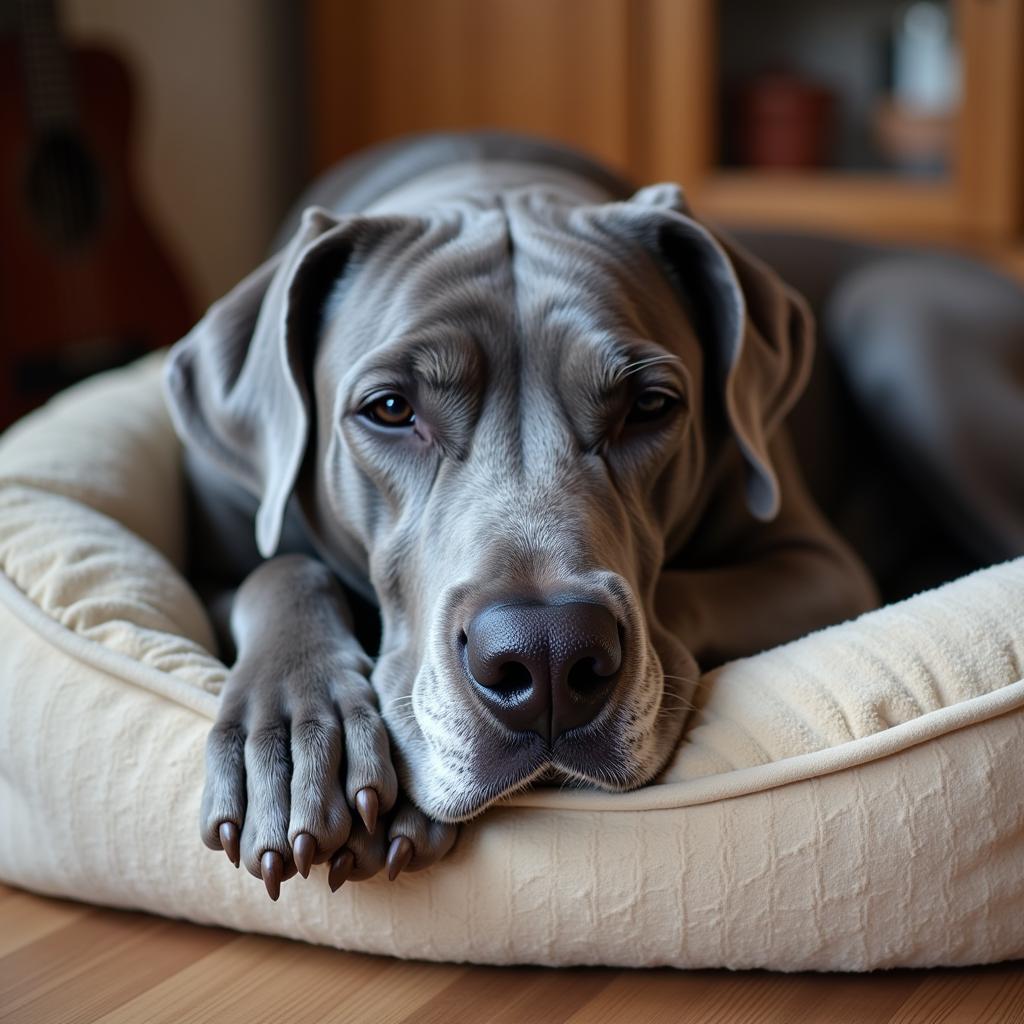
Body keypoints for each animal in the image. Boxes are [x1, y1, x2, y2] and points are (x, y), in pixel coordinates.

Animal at [163, 132, 876, 901]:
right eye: (391, 408)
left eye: (650, 405)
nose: (547, 655)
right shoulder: (206, 570)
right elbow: (280, 572)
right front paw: (294, 731)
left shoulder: (823, 570)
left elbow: (686, 592)